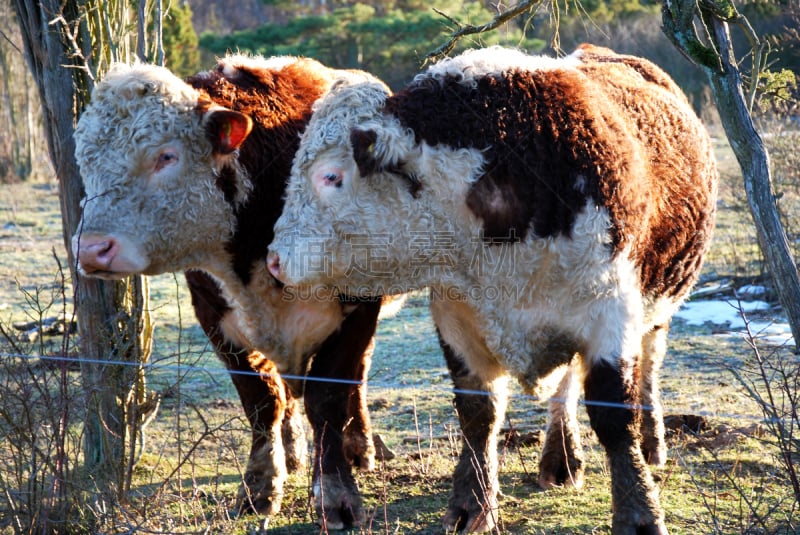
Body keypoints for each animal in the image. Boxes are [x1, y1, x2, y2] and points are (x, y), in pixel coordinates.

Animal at [71, 57, 390, 528]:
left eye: (166, 155)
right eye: (86, 163)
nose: (92, 249)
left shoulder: (357, 311)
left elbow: (329, 395)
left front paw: (337, 494)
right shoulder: (216, 316)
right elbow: (261, 401)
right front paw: (260, 487)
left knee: (356, 379)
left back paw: (359, 446)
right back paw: (291, 454)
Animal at [268, 44, 720, 532]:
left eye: (331, 176)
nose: (274, 258)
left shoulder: (610, 311)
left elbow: (614, 415)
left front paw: (639, 512)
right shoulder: (457, 315)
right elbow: (478, 413)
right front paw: (472, 504)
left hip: (658, 303)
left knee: (647, 366)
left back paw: (651, 441)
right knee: (565, 385)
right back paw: (561, 456)